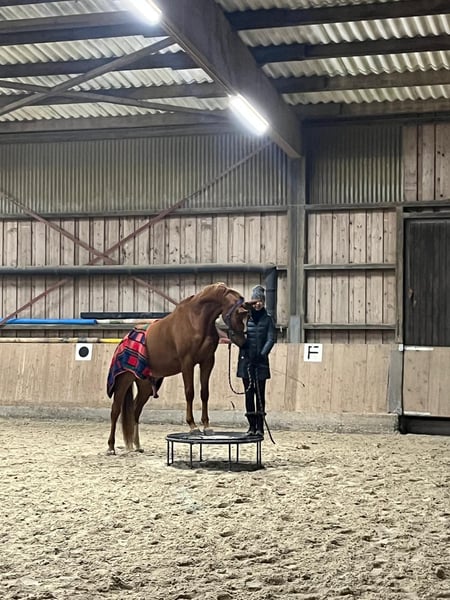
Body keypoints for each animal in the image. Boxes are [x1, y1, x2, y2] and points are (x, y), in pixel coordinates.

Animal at [106, 282, 249, 454]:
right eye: (239, 316)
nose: (243, 342)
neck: (196, 320)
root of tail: (124, 340)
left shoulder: (207, 361)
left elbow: (204, 393)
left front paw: (207, 426)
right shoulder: (187, 363)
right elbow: (189, 393)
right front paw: (193, 427)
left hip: (145, 385)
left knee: (135, 411)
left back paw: (137, 445)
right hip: (123, 380)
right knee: (115, 410)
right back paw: (111, 447)